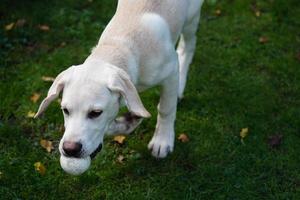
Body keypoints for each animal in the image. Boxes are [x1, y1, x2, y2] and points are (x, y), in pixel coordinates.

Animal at [34, 0, 204, 174]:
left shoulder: (170, 72)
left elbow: (166, 109)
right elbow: (109, 125)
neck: (119, 46)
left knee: (187, 47)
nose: (70, 149)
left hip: (191, 18)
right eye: (65, 110)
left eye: (95, 113)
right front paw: (128, 122)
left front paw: (162, 141)